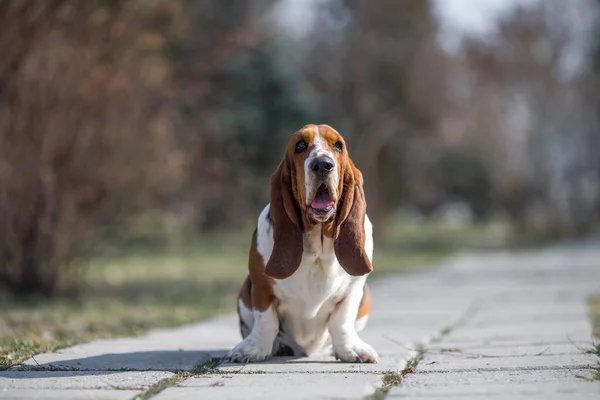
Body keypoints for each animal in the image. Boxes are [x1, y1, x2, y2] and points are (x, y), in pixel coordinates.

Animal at [227, 124, 378, 362]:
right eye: (300, 146)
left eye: (338, 146)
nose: (322, 164)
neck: (317, 245)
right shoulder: (260, 286)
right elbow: (266, 321)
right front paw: (252, 350)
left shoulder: (354, 289)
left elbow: (341, 321)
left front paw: (351, 350)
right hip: (244, 291)